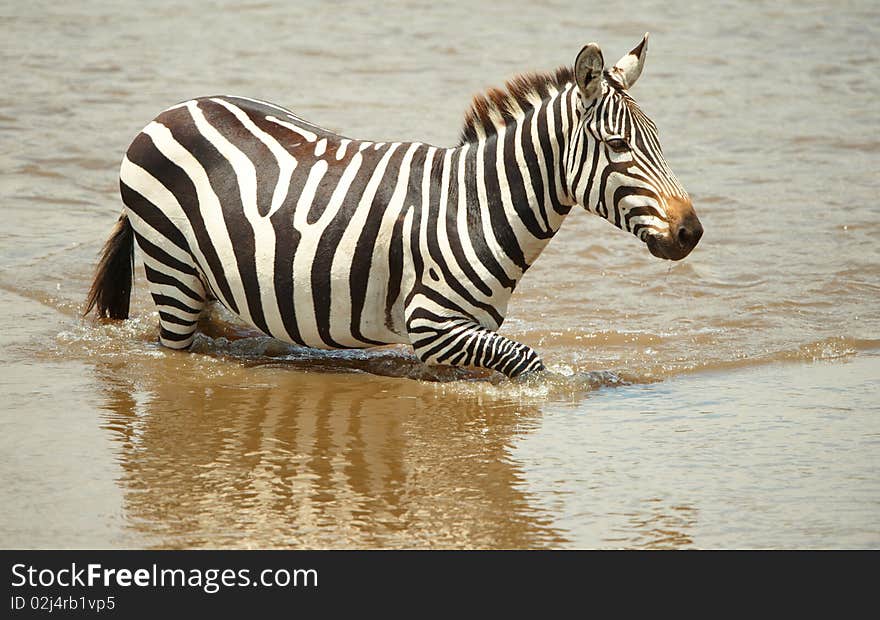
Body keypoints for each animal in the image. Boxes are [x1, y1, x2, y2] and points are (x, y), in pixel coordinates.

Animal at [84, 36, 700, 380]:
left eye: (659, 141)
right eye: (618, 146)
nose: (691, 232)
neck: (478, 206)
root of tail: (172, 110)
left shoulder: (465, 331)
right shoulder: (432, 321)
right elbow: (531, 364)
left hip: (208, 274)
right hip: (171, 266)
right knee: (173, 349)